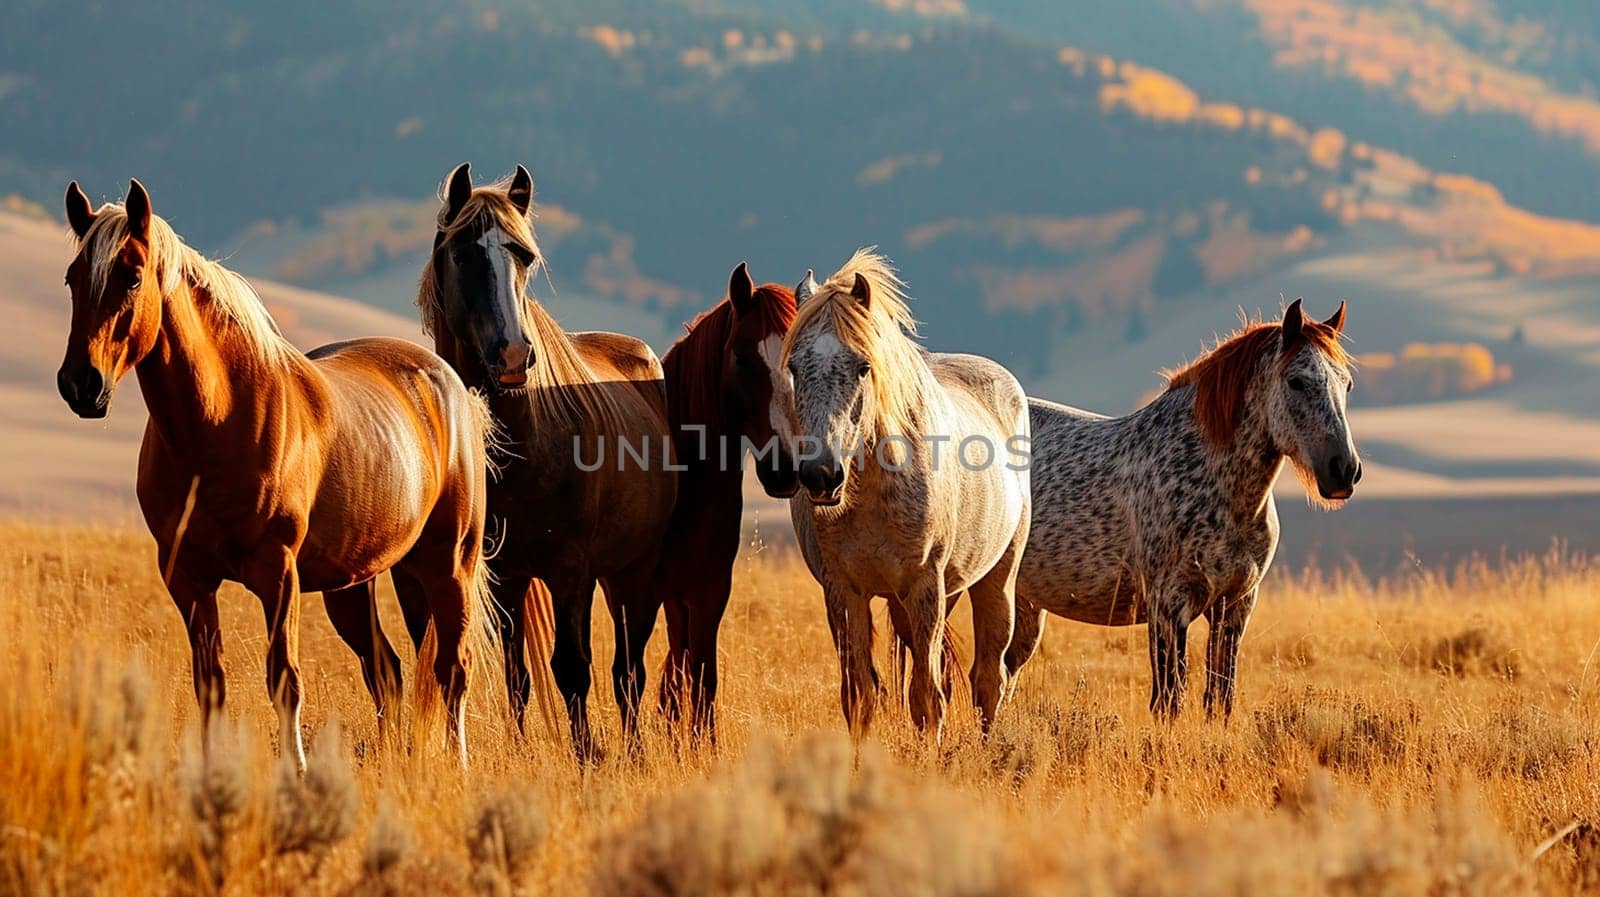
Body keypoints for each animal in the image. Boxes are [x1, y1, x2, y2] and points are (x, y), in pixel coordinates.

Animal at [60, 178, 499, 767]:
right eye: (72, 277)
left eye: (131, 275)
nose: (79, 384)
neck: (218, 425)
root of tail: (452, 386)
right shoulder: (186, 577)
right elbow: (210, 681)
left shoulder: (278, 574)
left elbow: (284, 679)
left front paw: (296, 772)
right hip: (353, 586)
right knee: (386, 671)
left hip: (448, 566)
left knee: (452, 670)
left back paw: (459, 765)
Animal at [416, 164, 672, 757]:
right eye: (461, 252)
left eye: (525, 256)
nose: (513, 355)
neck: (524, 445)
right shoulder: (503, 574)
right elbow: (518, 675)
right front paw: (519, 750)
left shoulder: (570, 571)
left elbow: (573, 668)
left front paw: (586, 757)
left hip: (634, 572)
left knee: (629, 670)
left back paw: (633, 749)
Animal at [780, 249, 1030, 735]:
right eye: (795, 367)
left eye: (863, 367)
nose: (821, 475)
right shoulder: (843, 591)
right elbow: (860, 694)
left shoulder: (924, 587)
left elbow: (927, 699)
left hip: (995, 580)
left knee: (988, 680)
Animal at [1004, 299, 1356, 713]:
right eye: (1297, 381)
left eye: (1346, 383)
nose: (1344, 470)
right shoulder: (1169, 608)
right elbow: (1170, 699)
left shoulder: (1234, 607)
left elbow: (1219, 699)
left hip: (1023, 603)